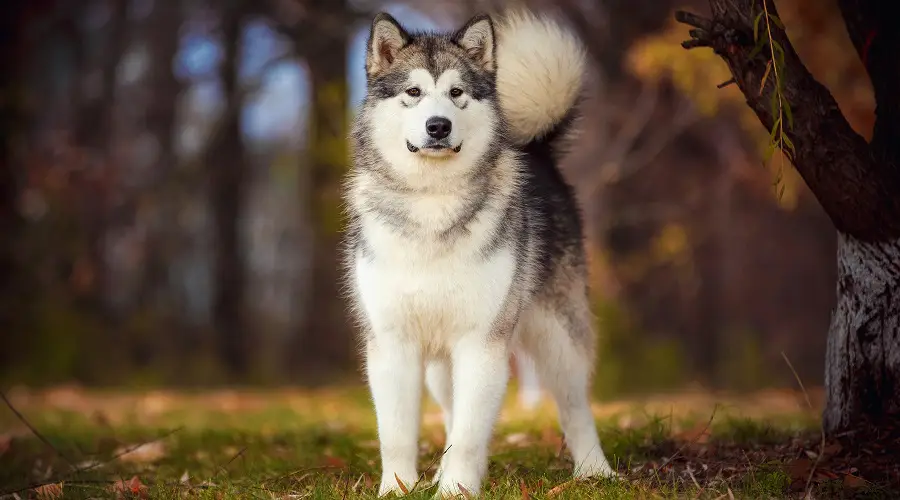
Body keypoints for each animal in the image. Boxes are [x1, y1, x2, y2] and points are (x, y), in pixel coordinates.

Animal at [342, 7, 616, 496]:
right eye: (413, 92)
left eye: (457, 93)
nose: (438, 125)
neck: (432, 203)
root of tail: (537, 150)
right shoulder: (392, 343)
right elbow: (397, 433)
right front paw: (398, 487)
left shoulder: (482, 342)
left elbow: (470, 432)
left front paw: (456, 489)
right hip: (439, 364)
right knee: (452, 409)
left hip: (557, 335)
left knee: (575, 406)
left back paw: (595, 470)